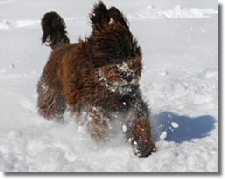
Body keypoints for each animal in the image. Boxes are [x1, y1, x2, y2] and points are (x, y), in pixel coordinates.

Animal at [37, 1, 156, 158]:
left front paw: (143, 146)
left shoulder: (130, 100)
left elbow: (138, 119)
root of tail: (59, 47)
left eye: (132, 53)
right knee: (51, 108)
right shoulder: (89, 103)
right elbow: (98, 120)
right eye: (114, 55)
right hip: (52, 91)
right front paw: (106, 143)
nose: (129, 75)